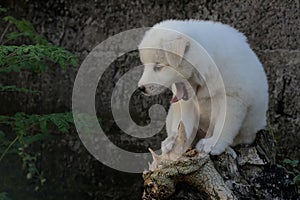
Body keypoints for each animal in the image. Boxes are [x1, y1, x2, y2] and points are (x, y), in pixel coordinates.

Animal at [137, 19, 268, 155]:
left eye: (158, 66)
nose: (141, 88)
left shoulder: (232, 99)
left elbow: (223, 124)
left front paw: (212, 144)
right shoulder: (187, 102)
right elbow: (183, 123)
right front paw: (175, 141)